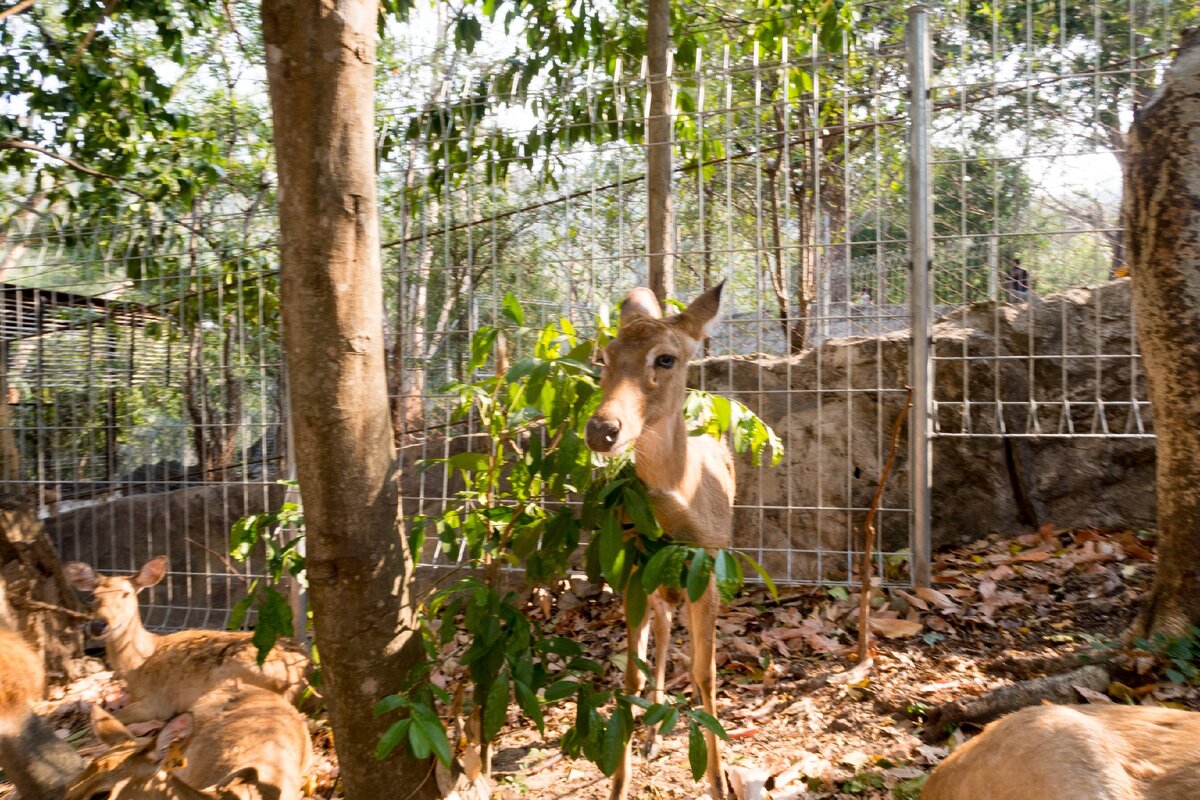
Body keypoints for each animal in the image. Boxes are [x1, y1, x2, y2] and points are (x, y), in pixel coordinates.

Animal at [62, 556, 309, 724]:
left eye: (125, 594)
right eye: (93, 596)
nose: (98, 625)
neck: (138, 666)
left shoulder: (158, 702)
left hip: (231, 675)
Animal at [585, 283, 734, 800]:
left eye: (665, 358)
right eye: (604, 356)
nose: (602, 430)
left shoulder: (708, 570)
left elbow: (707, 674)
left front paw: (719, 783)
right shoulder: (633, 573)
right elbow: (630, 673)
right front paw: (617, 784)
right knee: (664, 632)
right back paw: (651, 734)